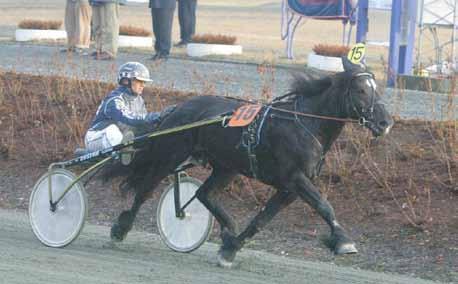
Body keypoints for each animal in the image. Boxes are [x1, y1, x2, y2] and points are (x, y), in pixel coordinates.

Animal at [108, 57, 394, 266]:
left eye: (377, 89)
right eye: (360, 90)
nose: (385, 122)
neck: (304, 124)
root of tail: (178, 108)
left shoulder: (288, 189)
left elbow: (261, 220)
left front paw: (231, 249)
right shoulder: (295, 179)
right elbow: (324, 206)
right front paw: (344, 241)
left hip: (226, 167)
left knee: (203, 194)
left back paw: (227, 229)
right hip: (170, 156)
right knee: (145, 190)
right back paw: (121, 228)